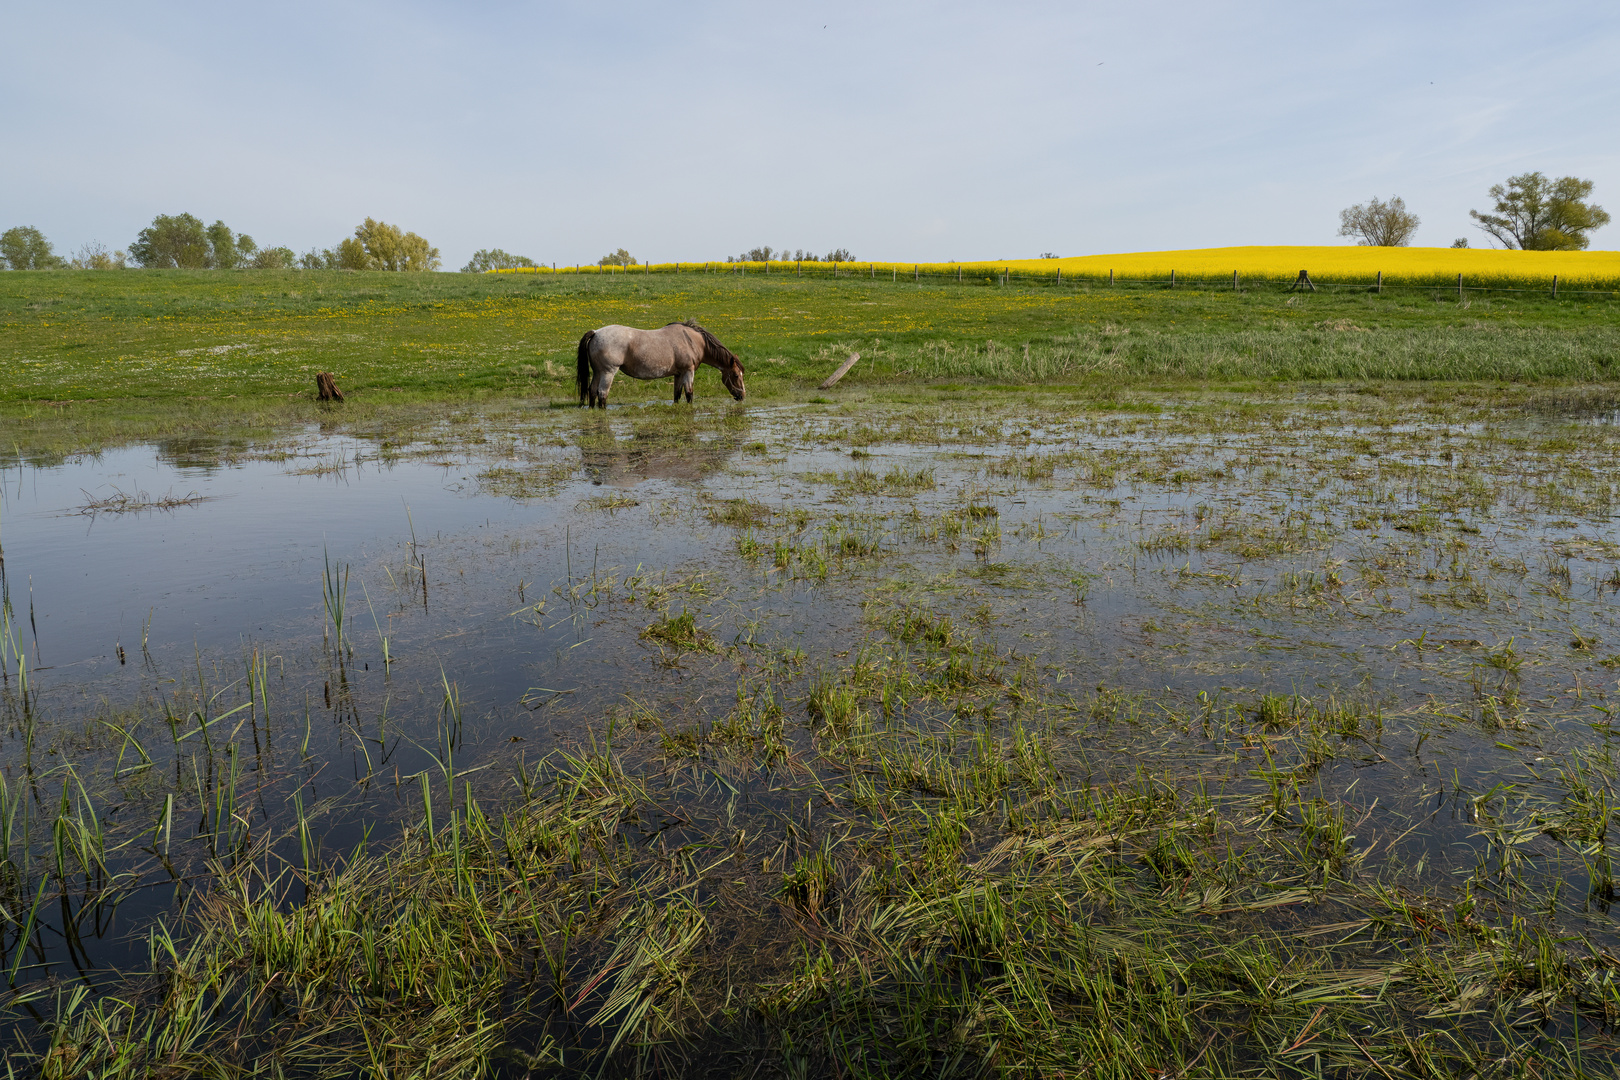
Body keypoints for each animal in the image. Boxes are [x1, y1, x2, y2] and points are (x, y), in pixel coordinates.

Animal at [576, 320, 745, 409]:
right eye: (736, 375)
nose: (742, 396)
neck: (692, 341)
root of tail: (596, 332)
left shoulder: (678, 374)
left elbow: (677, 394)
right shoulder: (688, 371)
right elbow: (689, 393)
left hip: (598, 372)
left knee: (592, 391)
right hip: (608, 373)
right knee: (602, 394)